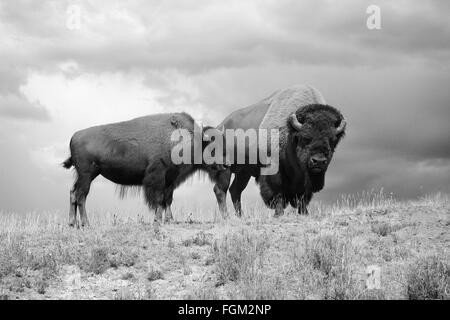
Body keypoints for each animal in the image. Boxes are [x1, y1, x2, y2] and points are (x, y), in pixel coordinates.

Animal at [213, 85, 346, 216]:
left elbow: (302, 196)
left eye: (333, 140)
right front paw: (279, 213)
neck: (291, 134)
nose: (318, 161)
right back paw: (226, 216)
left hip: (243, 172)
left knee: (235, 190)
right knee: (220, 190)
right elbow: (277, 191)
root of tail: (219, 127)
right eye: (305, 137)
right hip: (226, 167)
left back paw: (241, 216)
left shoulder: (303, 179)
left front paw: (304, 213)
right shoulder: (273, 167)